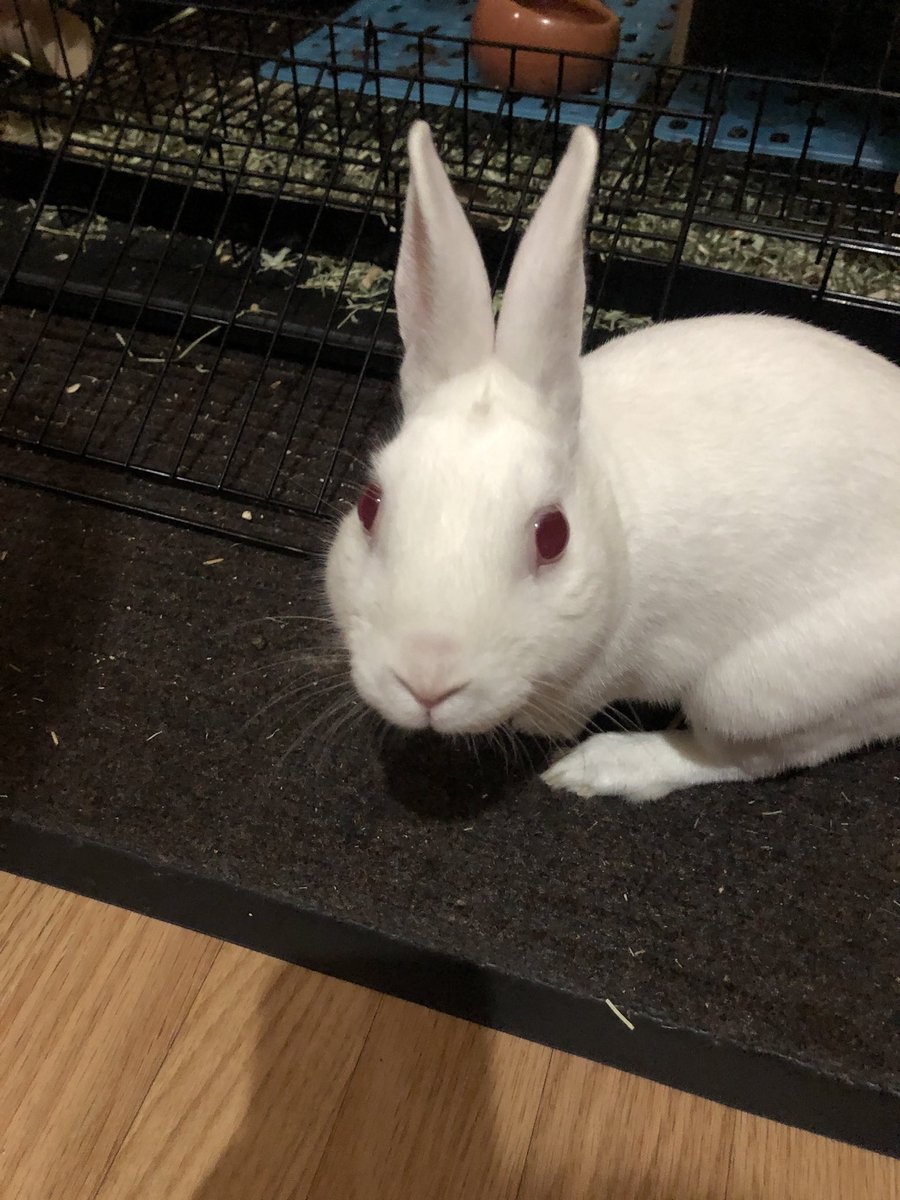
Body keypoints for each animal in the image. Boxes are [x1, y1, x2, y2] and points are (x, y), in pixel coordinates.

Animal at [325, 119, 900, 802]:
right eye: (369, 506)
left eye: (553, 535)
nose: (427, 680)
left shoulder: (584, 684)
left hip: (754, 689)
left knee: (757, 754)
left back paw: (600, 767)